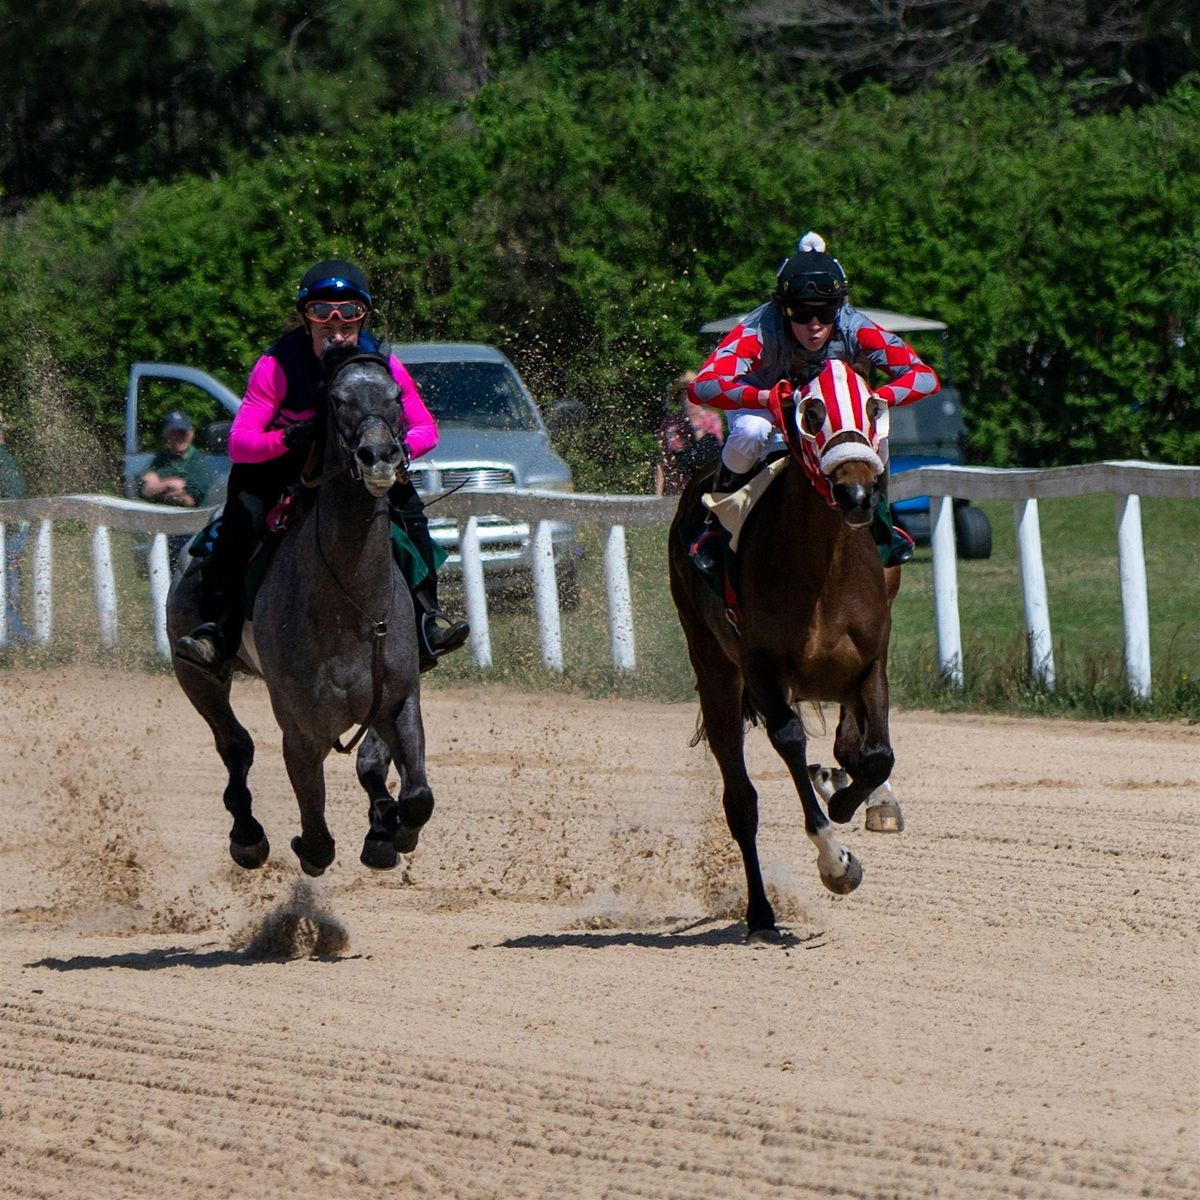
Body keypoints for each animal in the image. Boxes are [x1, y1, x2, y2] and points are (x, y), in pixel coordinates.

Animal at [169, 343, 432, 878]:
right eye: (335, 400)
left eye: (398, 396)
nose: (380, 456)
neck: (352, 604)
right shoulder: (302, 728)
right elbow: (316, 834)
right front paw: (311, 847)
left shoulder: (398, 700)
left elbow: (415, 794)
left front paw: (392, 831)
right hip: (196, 675)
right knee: (234, 744)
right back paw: (247, 835)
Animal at [667, 360, 902, 940]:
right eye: (810, 411)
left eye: (873, 406)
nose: (856, 495)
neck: (825, 571)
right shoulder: (764, 670)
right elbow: (792, 744)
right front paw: (836, 862)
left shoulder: (870, 666)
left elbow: (875, 756)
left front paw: (842, 795)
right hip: (714, 668)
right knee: (740, 801)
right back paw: (760, 914)